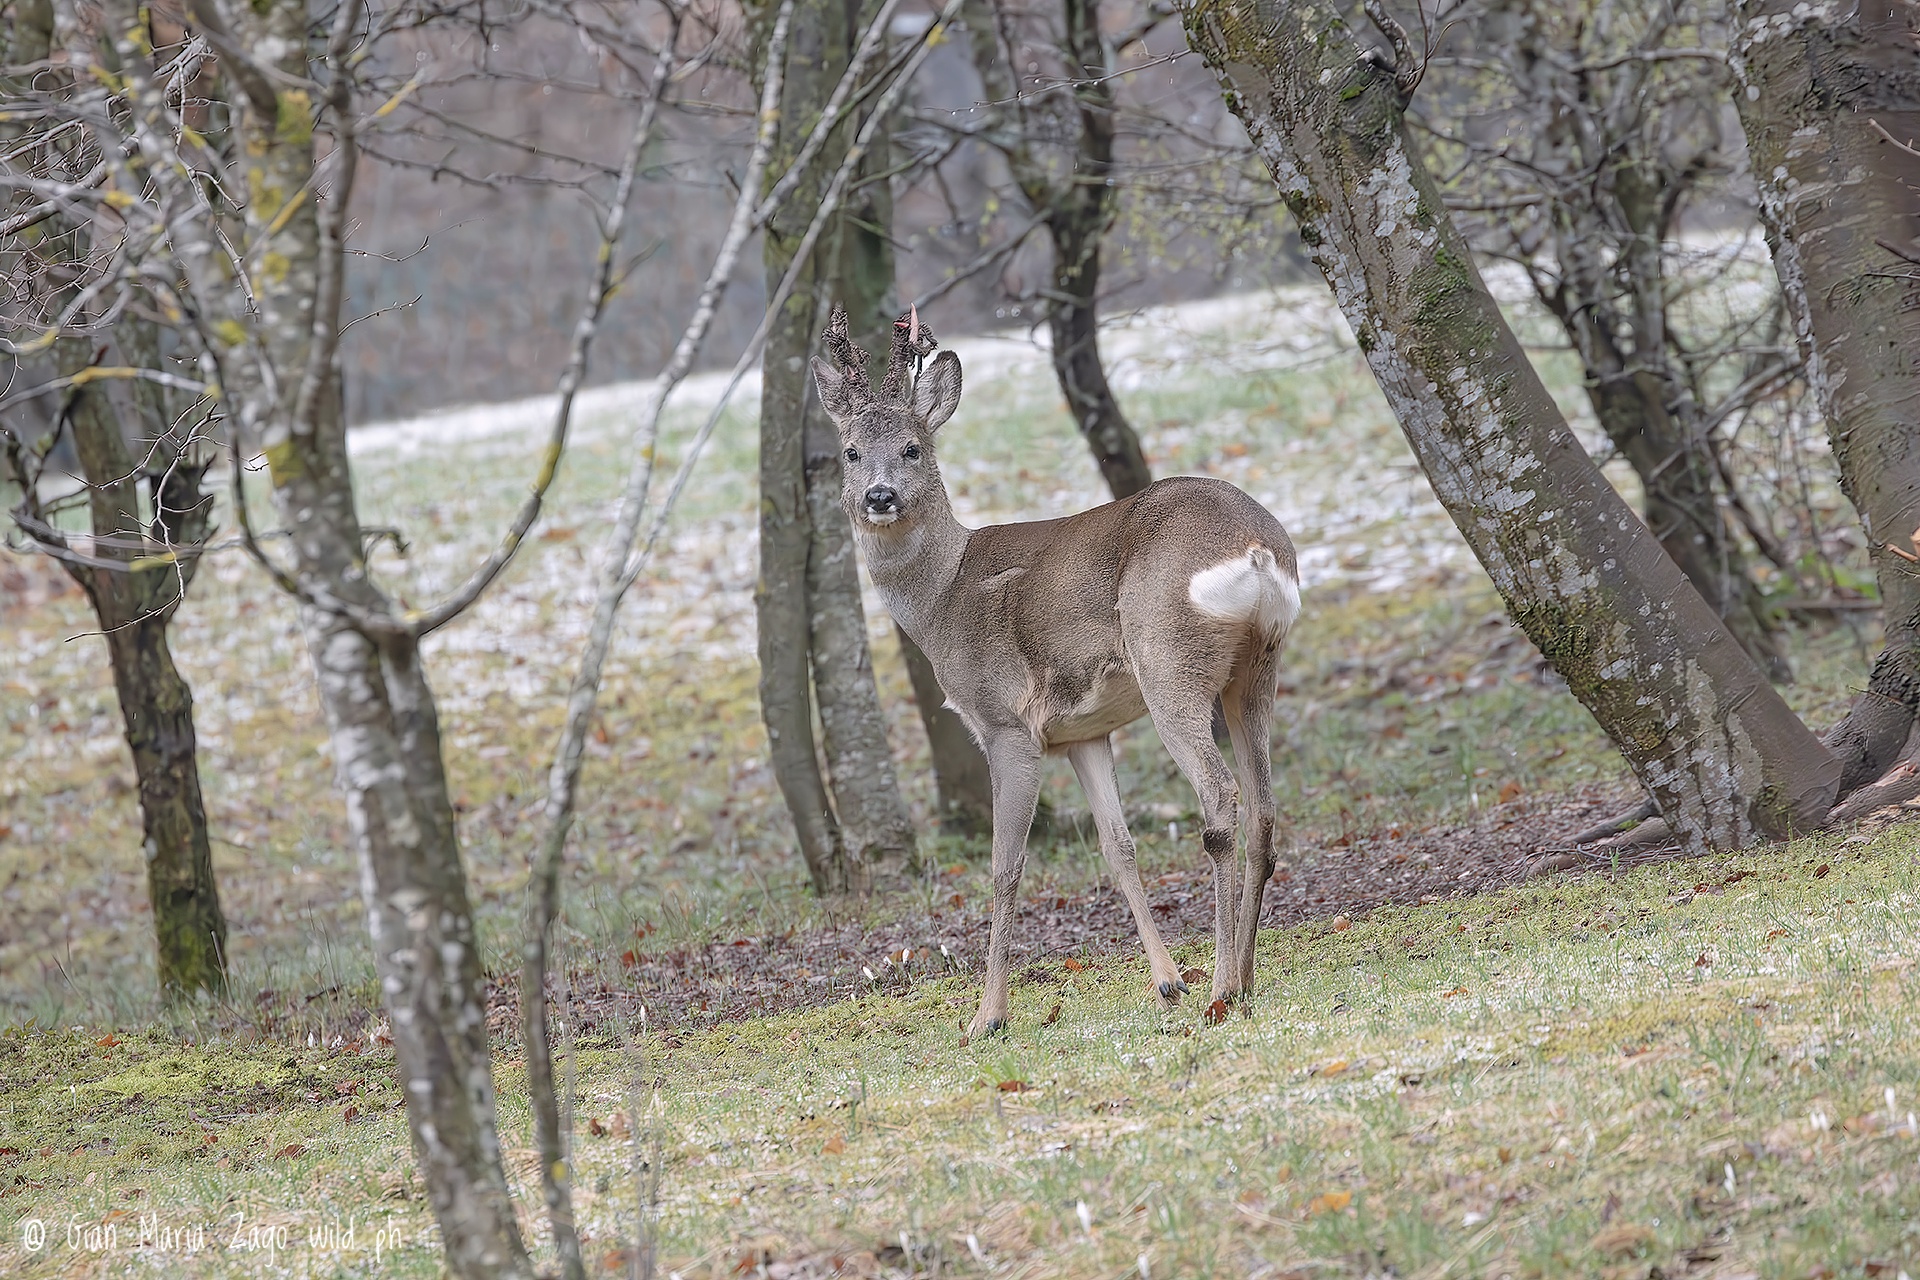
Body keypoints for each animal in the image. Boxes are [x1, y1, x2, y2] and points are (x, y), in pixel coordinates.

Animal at [811, 305, 1300, 1039]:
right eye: (849, 451)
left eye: (913, 448)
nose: (879, 495)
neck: (943, 596)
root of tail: (1258, 549)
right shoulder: (1082, 732)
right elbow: (1118, 847)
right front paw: (1165, 981)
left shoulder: (1006, 723)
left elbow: (1004, 867)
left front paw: (987, 1017)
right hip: (1257, 670)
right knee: (1265, 806)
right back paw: (1241, 980)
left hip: (1168, 662)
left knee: (1220, 797)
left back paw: (1220, 987)